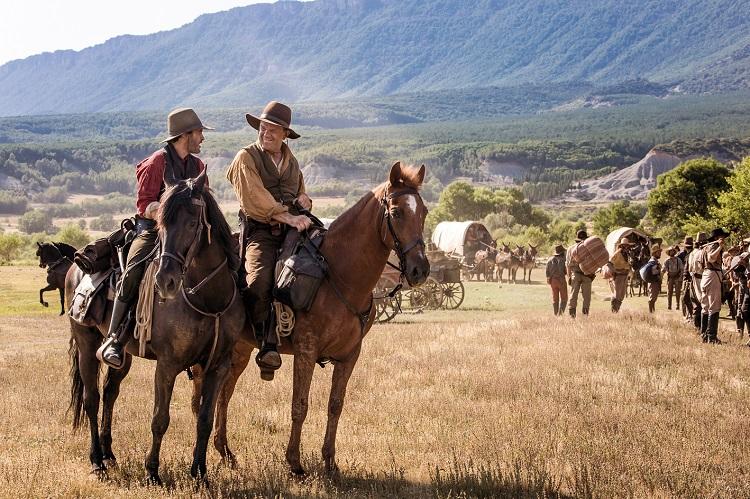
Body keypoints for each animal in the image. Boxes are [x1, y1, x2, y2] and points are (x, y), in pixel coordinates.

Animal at [66, 169, 244, 484]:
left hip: (122, 355)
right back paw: (97, 461)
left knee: (110, 392)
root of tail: (76, 264)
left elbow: (205, 419)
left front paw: (200, 473)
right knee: (92, 399)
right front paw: (152, 472)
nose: (165, 281)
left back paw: (109, 454)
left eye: (193, 222)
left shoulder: (218, 365)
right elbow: (160, 419)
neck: (208, 301)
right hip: (86, 343)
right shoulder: (168, 365)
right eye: (161, 224)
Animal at [192, 161, 428, 476]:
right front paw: (294, 462)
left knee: (223, 392)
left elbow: (335, 405)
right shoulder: (306, 350)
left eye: (424, 212)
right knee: (202, 395)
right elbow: (300, 405)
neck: (339, 274)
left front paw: (330, 462)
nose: (420, 269)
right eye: (397, 212)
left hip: (239, 350)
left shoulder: (350, 355)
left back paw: (226, 453)